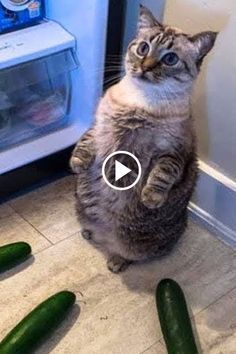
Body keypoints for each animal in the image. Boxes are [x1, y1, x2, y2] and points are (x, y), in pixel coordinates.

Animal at [71, 6, 218, 276]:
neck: (139, 101)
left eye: (170, 59)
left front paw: (150, 197)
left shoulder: (173, 153)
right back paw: (89, 232)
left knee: (127, 254)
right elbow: (85, 142)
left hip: (132, 242)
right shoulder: (100, 127)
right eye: (143, 48)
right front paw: (77, 163)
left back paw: (116, 261)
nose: (145, 67)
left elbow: (161, 175)